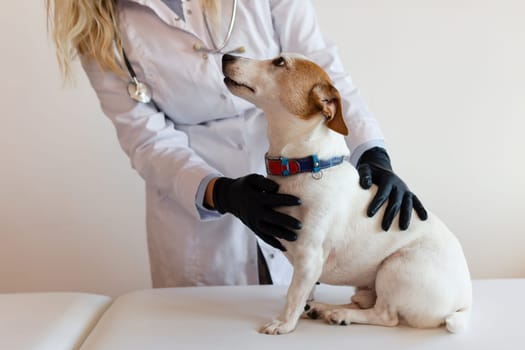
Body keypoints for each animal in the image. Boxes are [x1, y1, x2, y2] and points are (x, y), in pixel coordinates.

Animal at [221, 52, 470, 334]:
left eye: (279, 62)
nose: (227, 55)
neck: (307, 165)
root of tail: (464, 303)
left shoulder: (309, 258)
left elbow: (294, 295)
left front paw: (283, 323)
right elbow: (303, 293)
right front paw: (303, 310)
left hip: (394, 267)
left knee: (385, 316)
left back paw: (340, 314)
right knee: (362, 301)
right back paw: (325, 309)